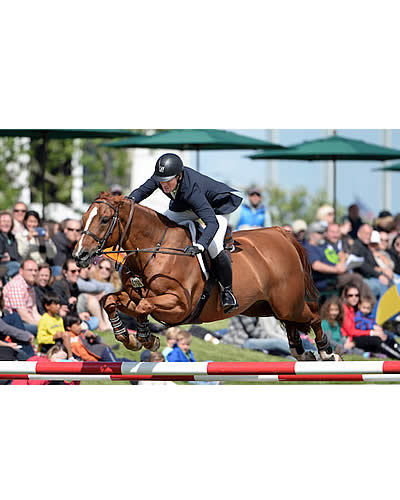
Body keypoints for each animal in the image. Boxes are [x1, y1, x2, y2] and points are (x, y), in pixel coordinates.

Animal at [72, 191, 340, 360]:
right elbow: (110, 300)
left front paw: (146, 338)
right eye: (83, 218)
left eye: (105, 219)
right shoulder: (133, 296)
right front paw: (128, 338)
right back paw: (300, 351)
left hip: (288, 303)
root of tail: (280, 233)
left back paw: (326, 351)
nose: (79, 255)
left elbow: (143, 306)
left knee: (313, 315)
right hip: (264, 306)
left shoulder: (179, 305)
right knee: (292, 323)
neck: (153, 251)